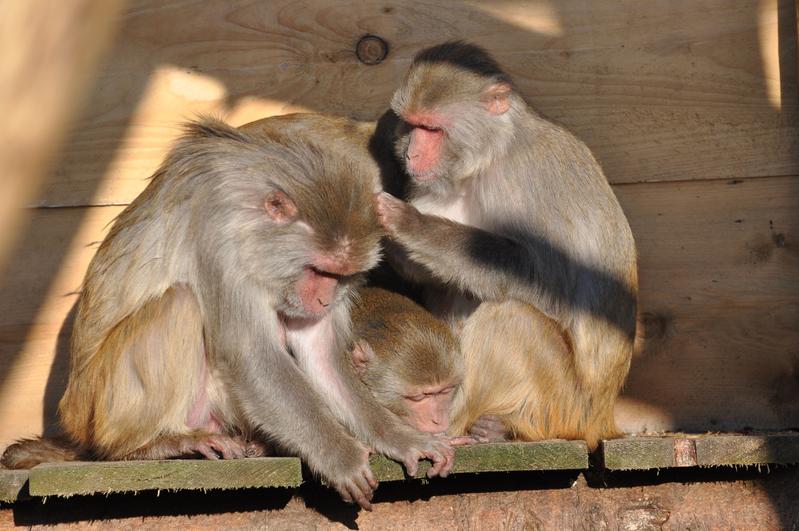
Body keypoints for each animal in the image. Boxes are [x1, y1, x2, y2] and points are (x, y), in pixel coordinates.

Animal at [376, 42, 636, 448]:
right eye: (412, 123)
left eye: (432, 128)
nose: (410, 154)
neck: (487, 158)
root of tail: (603, 418)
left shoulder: (531, 177)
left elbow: (548, 282)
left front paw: (411, 224)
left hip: (566, 403)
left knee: (510, 317)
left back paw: (454, 427)